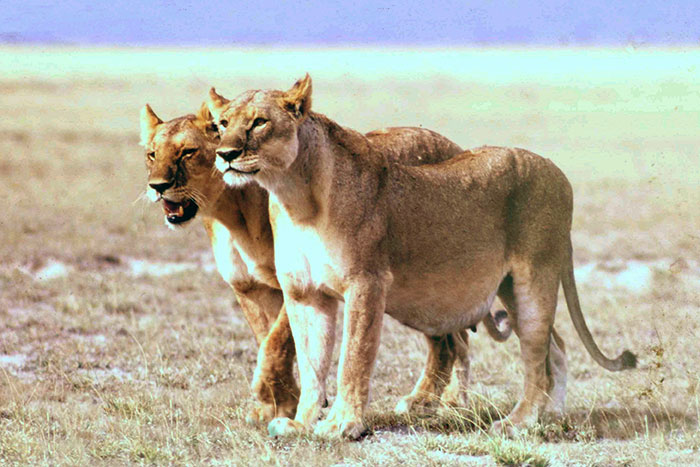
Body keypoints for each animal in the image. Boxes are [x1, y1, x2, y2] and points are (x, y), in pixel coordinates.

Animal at [139, 100, 511, 424]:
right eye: (151, 154)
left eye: (188, 152)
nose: (157, 186)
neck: (231, 214)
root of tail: (455, 145)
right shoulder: (248, 289)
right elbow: (271, 341)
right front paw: (283, 403)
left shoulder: (294, 280)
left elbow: (275, 343)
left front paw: (270, 396)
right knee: (449, 338)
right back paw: (435, 400)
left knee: (452, 340)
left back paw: (440, 401)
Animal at [207, 74, 636, 439]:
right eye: (221, 124)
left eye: (259, 122)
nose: (225, 154)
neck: (295, 196)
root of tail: (557, 171)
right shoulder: (304, 294)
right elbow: (313, 364)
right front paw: (300, 423)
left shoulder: (367, 283)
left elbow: (352, 359)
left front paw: (342, 424)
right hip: (509, 287)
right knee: (556, 347)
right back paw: (553, 415)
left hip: (535, 278)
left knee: (536, 358)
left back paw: (520, 422)